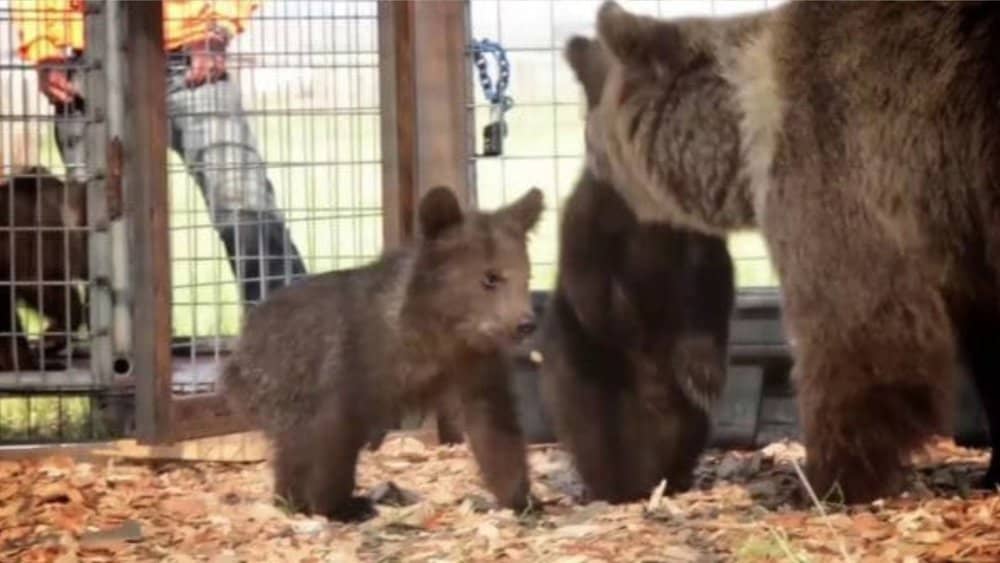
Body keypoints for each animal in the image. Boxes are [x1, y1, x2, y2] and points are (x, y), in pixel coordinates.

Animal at [221, 185, 545, 521]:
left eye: (527, 276)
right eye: (490, 277)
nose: (525, 323)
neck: (434, 334)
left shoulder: (473, 365)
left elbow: (494, 428)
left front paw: (521, 499)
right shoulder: (348, 369)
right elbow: (328, 445)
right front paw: (338, 506)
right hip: (278, 382)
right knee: (295, 446)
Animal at [534, 36, 735, 503]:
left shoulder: (697, 243)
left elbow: (710, 291)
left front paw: (704, 374)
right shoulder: (588, 227)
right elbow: (590, 284)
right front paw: (630, 330)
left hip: (689, 424)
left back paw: (673, 478)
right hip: (584, 391)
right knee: (595, 429)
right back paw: (615, 487)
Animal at [579, 0, 1000, 503]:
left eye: (589, 137)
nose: (587, 183)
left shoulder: (840, 163)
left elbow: (858, 329)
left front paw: (831, 479)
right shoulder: (962, 237)